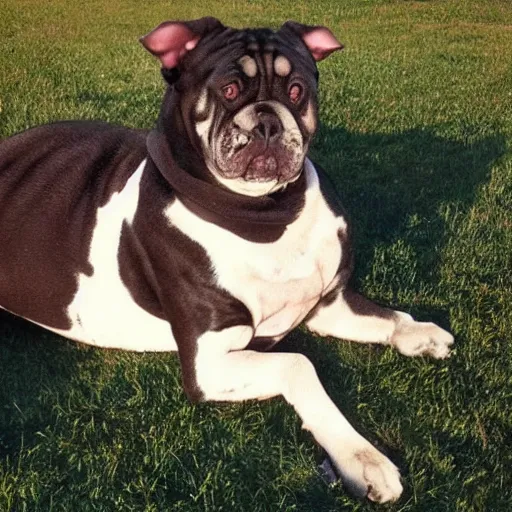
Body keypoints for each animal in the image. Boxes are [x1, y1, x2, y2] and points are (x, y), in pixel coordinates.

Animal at [0, 17, 454, 504]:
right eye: (230, 89)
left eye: (297, 90)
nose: (269, 122)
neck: (262, 213)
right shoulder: (210, 361)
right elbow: (300, 365)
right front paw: (361, 459)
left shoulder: (327, 305)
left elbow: (386, 316)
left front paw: (420, 334)